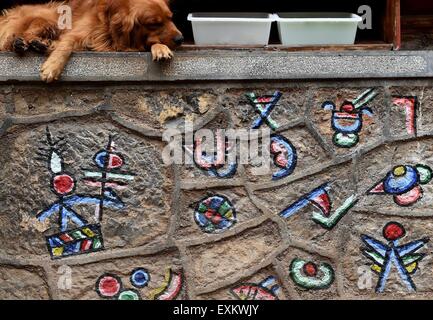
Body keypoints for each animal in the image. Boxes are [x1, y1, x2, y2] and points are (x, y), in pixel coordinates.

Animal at [0, 0, 182, 82]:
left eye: (170, 18)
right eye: (154, 23)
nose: (181, 39)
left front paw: (161, 48)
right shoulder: (75, 33)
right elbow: (66, 45)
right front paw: (52, 67)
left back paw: (40, 44)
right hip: (50, 18)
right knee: (17, 37)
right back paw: (25, 43)